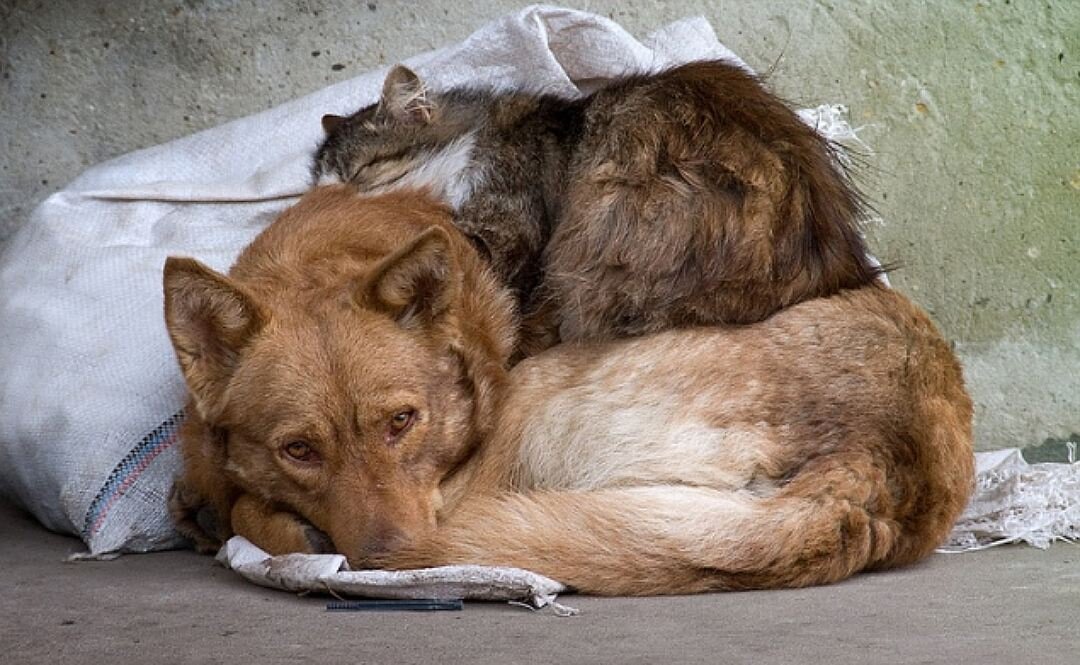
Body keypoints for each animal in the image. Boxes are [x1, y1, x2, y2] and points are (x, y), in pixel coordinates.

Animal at [164, 184, 976, 595]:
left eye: (402, 421)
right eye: (299, 449)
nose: (385, 556)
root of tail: (877, 469)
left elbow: (242, 503)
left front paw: (242, 518)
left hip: (531, 402)